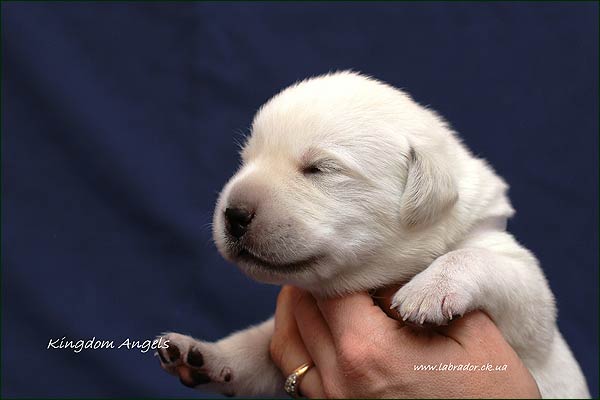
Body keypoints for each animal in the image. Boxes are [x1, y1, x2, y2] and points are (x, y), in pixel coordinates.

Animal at [156, 71, 592, 396]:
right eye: (246, 160)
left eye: (319, 168)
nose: (233, 214)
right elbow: (258, 345)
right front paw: (205, 355)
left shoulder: (528, 309)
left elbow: (479, 259)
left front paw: (428, 290)